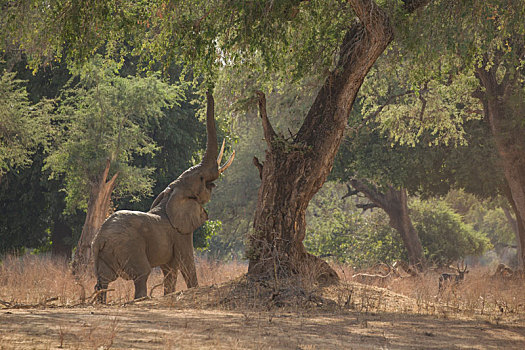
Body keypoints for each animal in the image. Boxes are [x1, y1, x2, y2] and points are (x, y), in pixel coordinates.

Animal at [91, 91, 234, 302]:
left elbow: (170, 271)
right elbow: (187, 264)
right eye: (201, 178)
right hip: (129, 247)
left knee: (102, 281)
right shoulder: (181, 233)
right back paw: (141, 299)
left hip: (104, 255)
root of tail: (100, 239)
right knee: (141, 275)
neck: (171, 193)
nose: (209, 90)